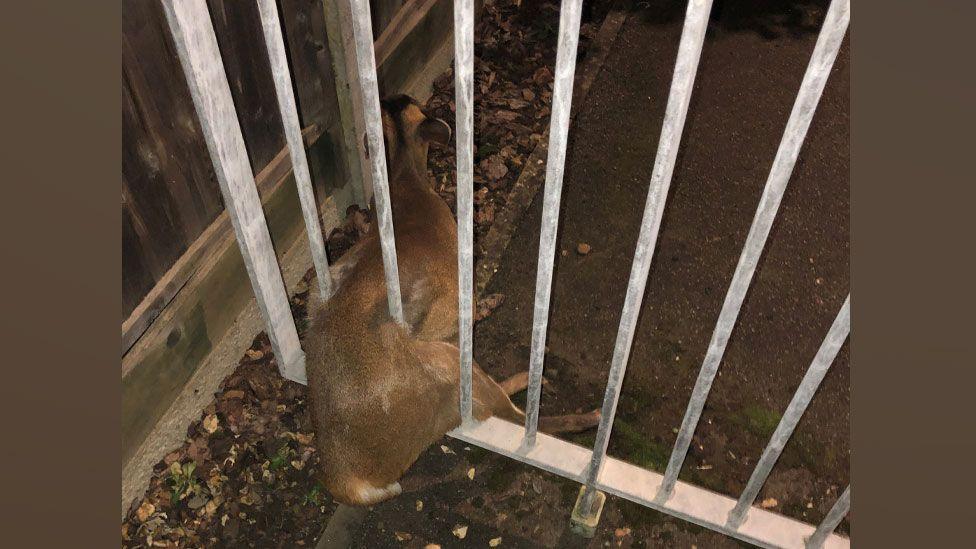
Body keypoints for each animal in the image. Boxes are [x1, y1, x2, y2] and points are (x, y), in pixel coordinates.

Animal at [304, 95, 600, 506]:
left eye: (396, 102)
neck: (407, 193)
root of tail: (347, 480)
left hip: (318, 292)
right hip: (444, 367)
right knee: (505, 413)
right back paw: (578, 411)